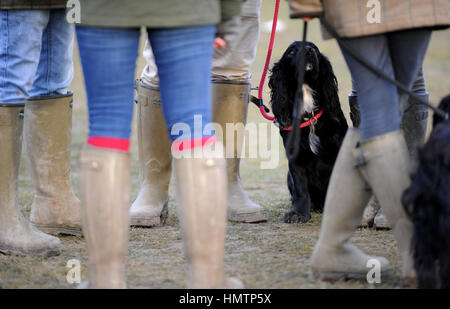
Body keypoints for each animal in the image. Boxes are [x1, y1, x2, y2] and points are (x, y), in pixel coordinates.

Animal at [268, 42, 350, 223]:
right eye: (291, 51)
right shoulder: (296, 157)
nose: (309, 51)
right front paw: (298, 213)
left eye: (315, 48)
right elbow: (300, 188)